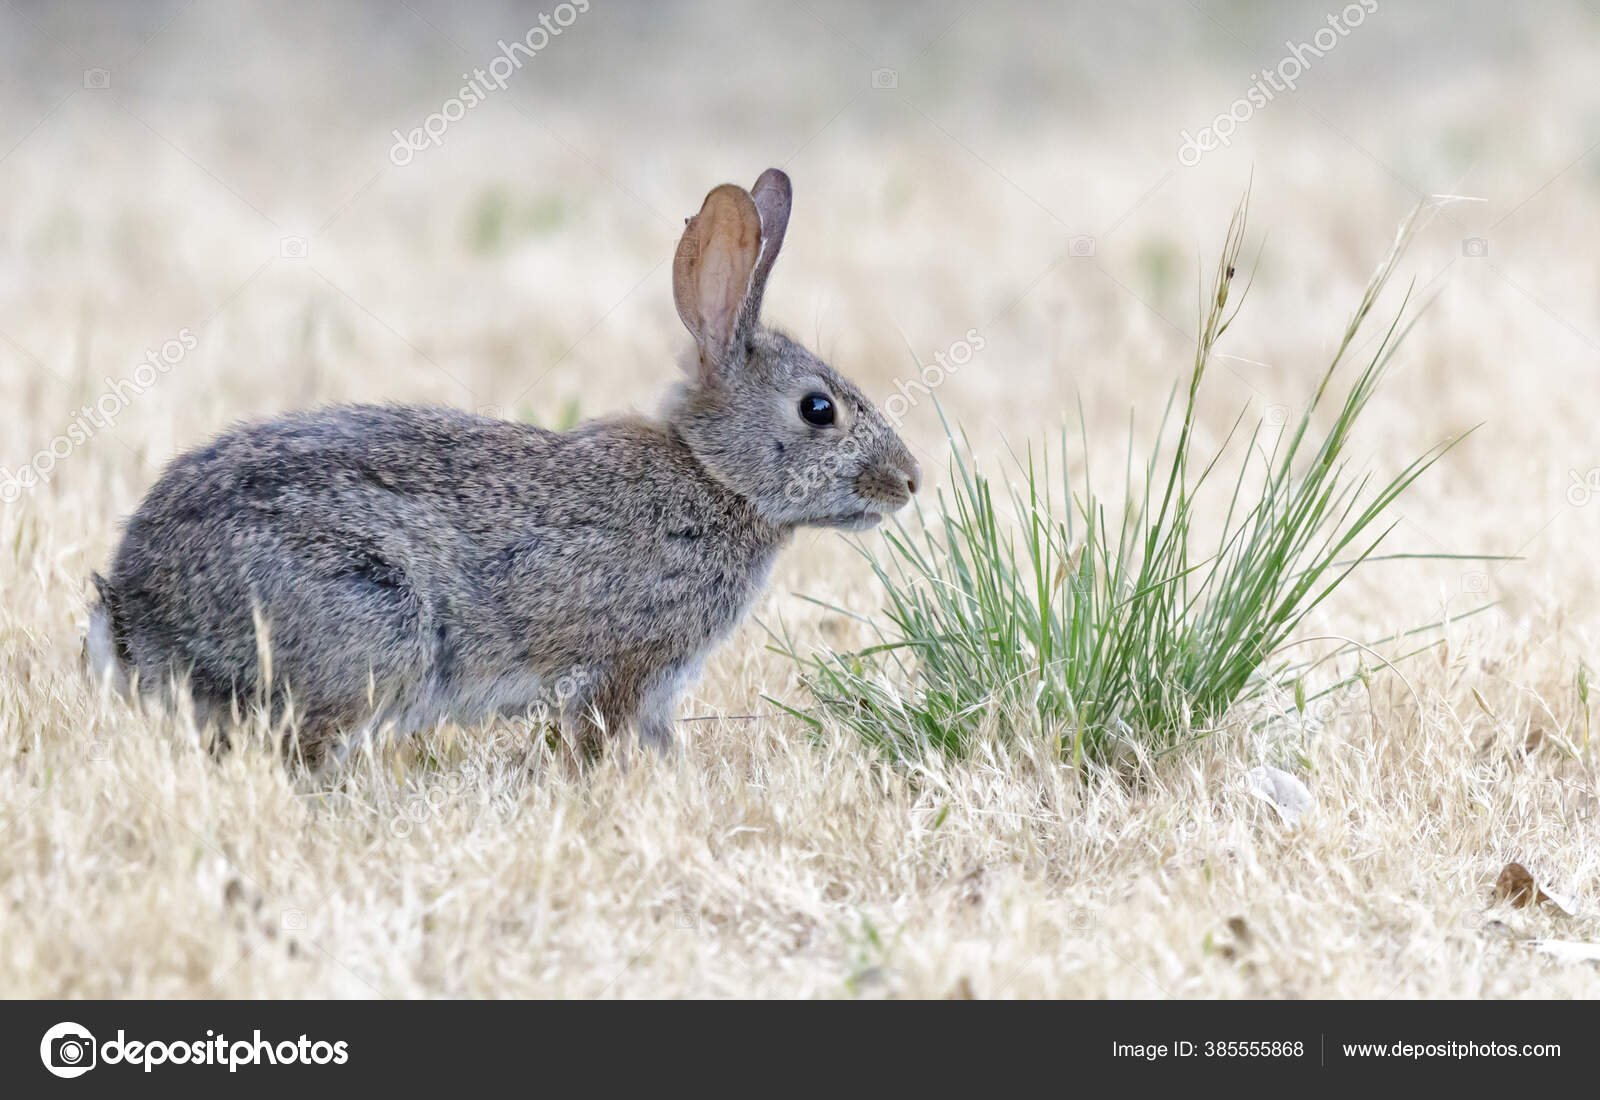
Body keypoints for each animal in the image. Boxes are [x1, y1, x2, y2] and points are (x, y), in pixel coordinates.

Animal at [85, 168, 921, 760]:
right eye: (819, 409)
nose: (910, 481)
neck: (714, 476)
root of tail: (135, 609)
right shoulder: (626, 665)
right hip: (370, 621)